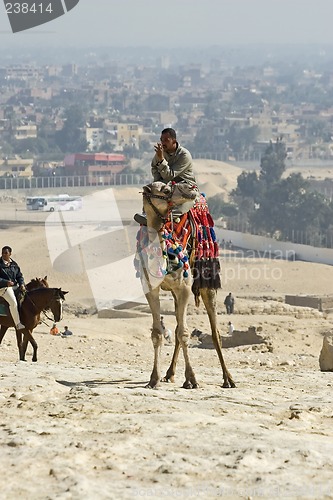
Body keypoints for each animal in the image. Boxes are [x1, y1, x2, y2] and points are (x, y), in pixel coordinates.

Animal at [134, 182, 235, 388]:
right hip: (174, 292)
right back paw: (169, 373)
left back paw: (228, 379)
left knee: (214, 332)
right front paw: (154, 378)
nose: (190, 188)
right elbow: (158, 333)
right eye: (164, 190)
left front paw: (192, 379)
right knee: (177, 328)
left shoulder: (185, 288)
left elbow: (184, 333)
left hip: (206, 283)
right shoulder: (150, 288)